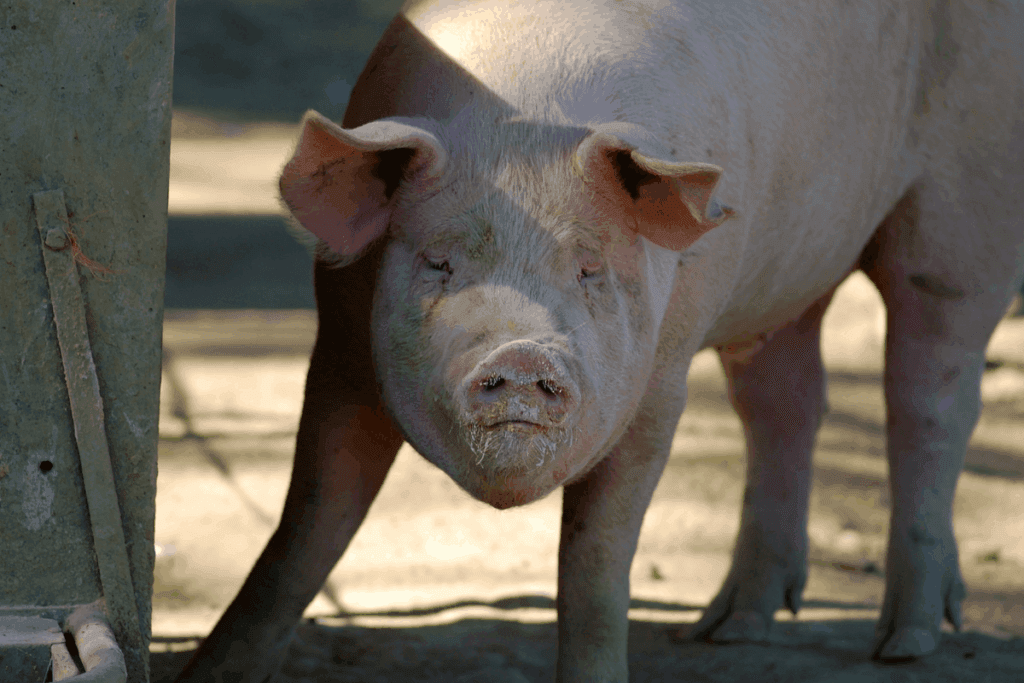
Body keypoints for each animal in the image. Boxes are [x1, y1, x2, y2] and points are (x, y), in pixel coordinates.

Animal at [176, 1, 1024, 681]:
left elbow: (594, 558)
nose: (520, 354)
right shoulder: (342, 343)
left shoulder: (660, 377)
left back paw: (906, 643)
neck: (522, 115)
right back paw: (728, 628)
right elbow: (308, 524)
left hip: (968, 204)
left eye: (589, 268)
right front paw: (211, 668)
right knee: (782, 398)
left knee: (929, 387)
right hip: (787, 266)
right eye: (439, 260)